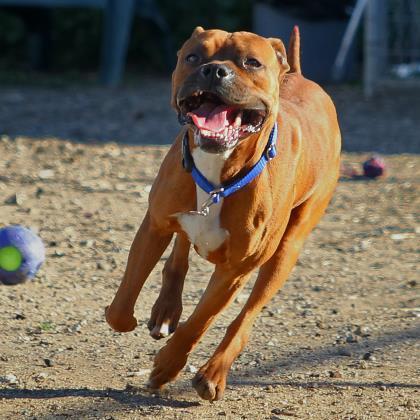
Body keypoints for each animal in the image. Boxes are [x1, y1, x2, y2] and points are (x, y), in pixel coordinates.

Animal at [106, 25, 342, 400]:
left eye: (252, 62)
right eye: (193, 56)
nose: (214, 70)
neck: (218, 171)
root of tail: (301, 75)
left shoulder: (234, 270)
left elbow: (200, 321)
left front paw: (168, 366)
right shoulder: (155, 225)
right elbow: (121, 303)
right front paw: (130, 319)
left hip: (284, 253)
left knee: (244, 318)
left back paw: (213, 373)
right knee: (180, 251)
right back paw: (166, 310)